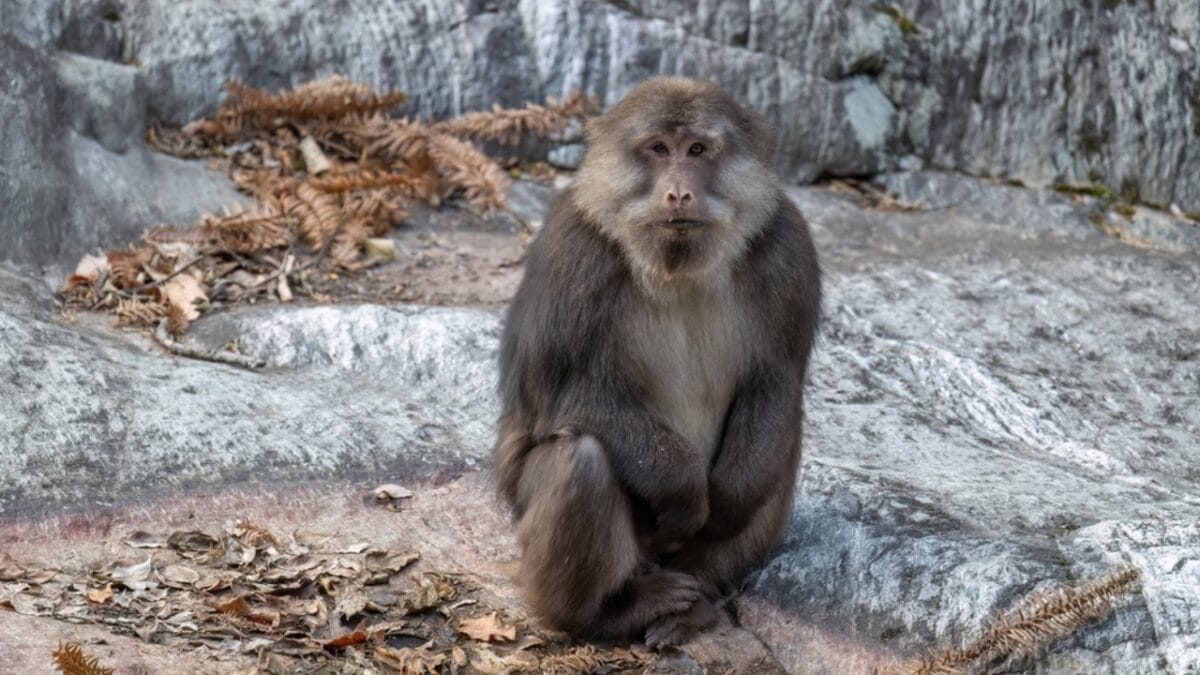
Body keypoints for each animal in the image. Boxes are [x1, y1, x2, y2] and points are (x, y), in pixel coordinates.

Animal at [493, 77, 821, 648]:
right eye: (659, 149)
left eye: (698, 150)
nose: (679, 192)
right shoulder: (571, 252)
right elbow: (554, 390)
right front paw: (684, 489)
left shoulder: (788, 247)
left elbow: (776, 382)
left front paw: (727, 502)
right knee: (582, 459)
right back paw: (604, 614)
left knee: (781, 436)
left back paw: (700, 595)